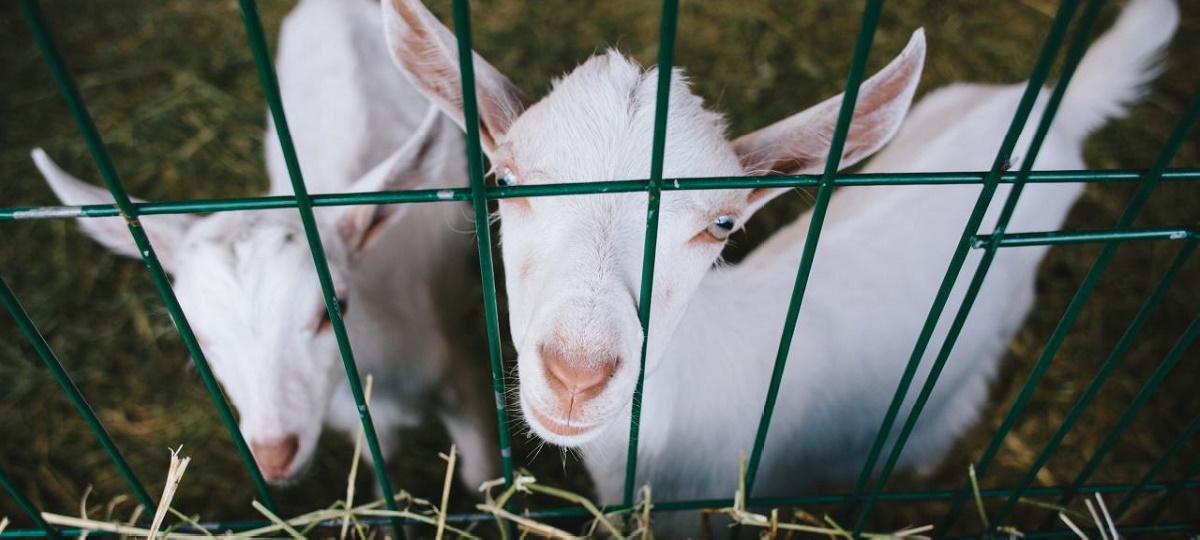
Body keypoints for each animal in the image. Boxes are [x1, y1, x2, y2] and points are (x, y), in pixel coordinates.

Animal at [34, 0, 496, 489]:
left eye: (335, 308)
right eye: (195, 333)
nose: (274, 456)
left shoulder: (457, 375)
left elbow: (479, 479)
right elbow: (382, 465)